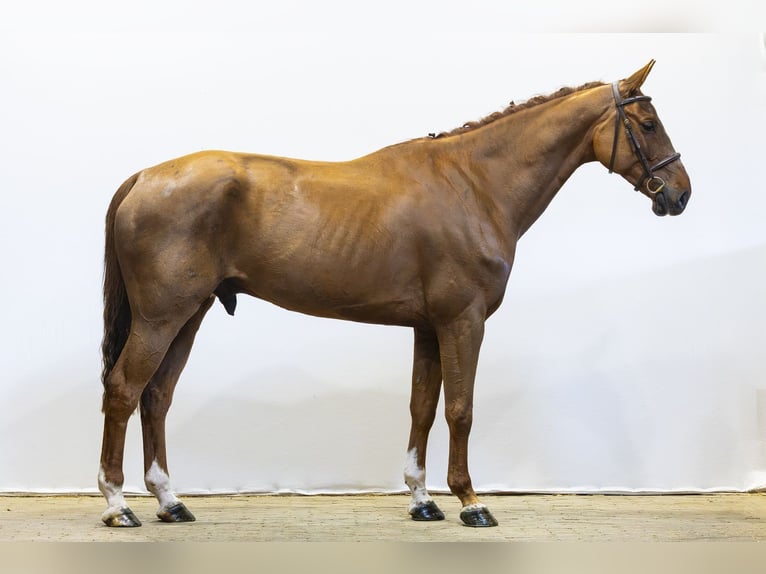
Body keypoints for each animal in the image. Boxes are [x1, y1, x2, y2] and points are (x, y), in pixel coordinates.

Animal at [98, 60, 690, 528]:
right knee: (124, 390)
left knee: (156, 396)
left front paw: (423, 500)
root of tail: (143, 177)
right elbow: (460, 409)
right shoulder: (463, 321)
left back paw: (170, 502)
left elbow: (422, 408)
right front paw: (471, 502)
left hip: (189, 314)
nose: (680, 194)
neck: (474, 184)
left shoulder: (429, 326)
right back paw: (117, 505)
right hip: (160, 317)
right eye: (647, 123)